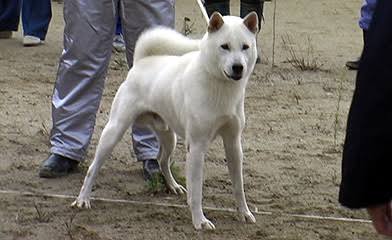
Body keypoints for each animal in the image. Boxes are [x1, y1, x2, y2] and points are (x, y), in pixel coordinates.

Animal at [72, 12, 258, 230]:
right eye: (225, 46)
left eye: (245, 47)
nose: (238, 67)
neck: (220, 86)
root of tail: (141, 62)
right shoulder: (197, 146)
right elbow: (197, 191)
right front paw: (200, 221)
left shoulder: (233, 144)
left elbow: (238, 186)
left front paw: (244, 213)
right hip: (114, 132)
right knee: (93, 168)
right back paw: (83, 199)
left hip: (169, 137)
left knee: (162, 160)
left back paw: (174, 186)